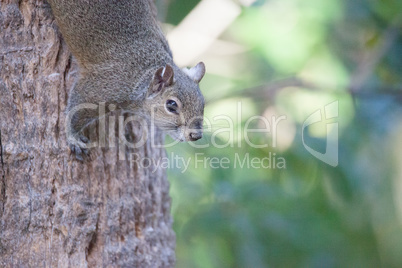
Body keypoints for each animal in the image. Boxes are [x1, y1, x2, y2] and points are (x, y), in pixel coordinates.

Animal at [48, 0, 207, 159]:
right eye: (171, 105)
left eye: (202, 103)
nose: (196, 135)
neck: (142, 75)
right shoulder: (102, 86)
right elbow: (76, 109)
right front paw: (73, 139)